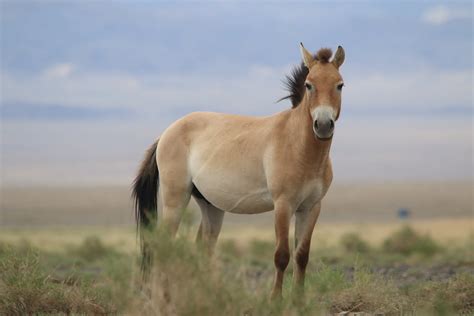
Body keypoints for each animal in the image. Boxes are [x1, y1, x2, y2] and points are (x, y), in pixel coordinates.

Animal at [131, 43, 346, 298]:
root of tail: (167, 132)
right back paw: (163, 298)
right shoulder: (283, 205)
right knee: (165, 247)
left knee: (203, 248)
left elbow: (302, 256)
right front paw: (275, 300)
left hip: (210, 206)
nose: (323, 125)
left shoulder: (311, 207)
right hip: (176, 200)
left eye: (340, 85)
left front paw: (298, 301)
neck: (299, 147)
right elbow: (282, 255)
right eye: (309, 84)